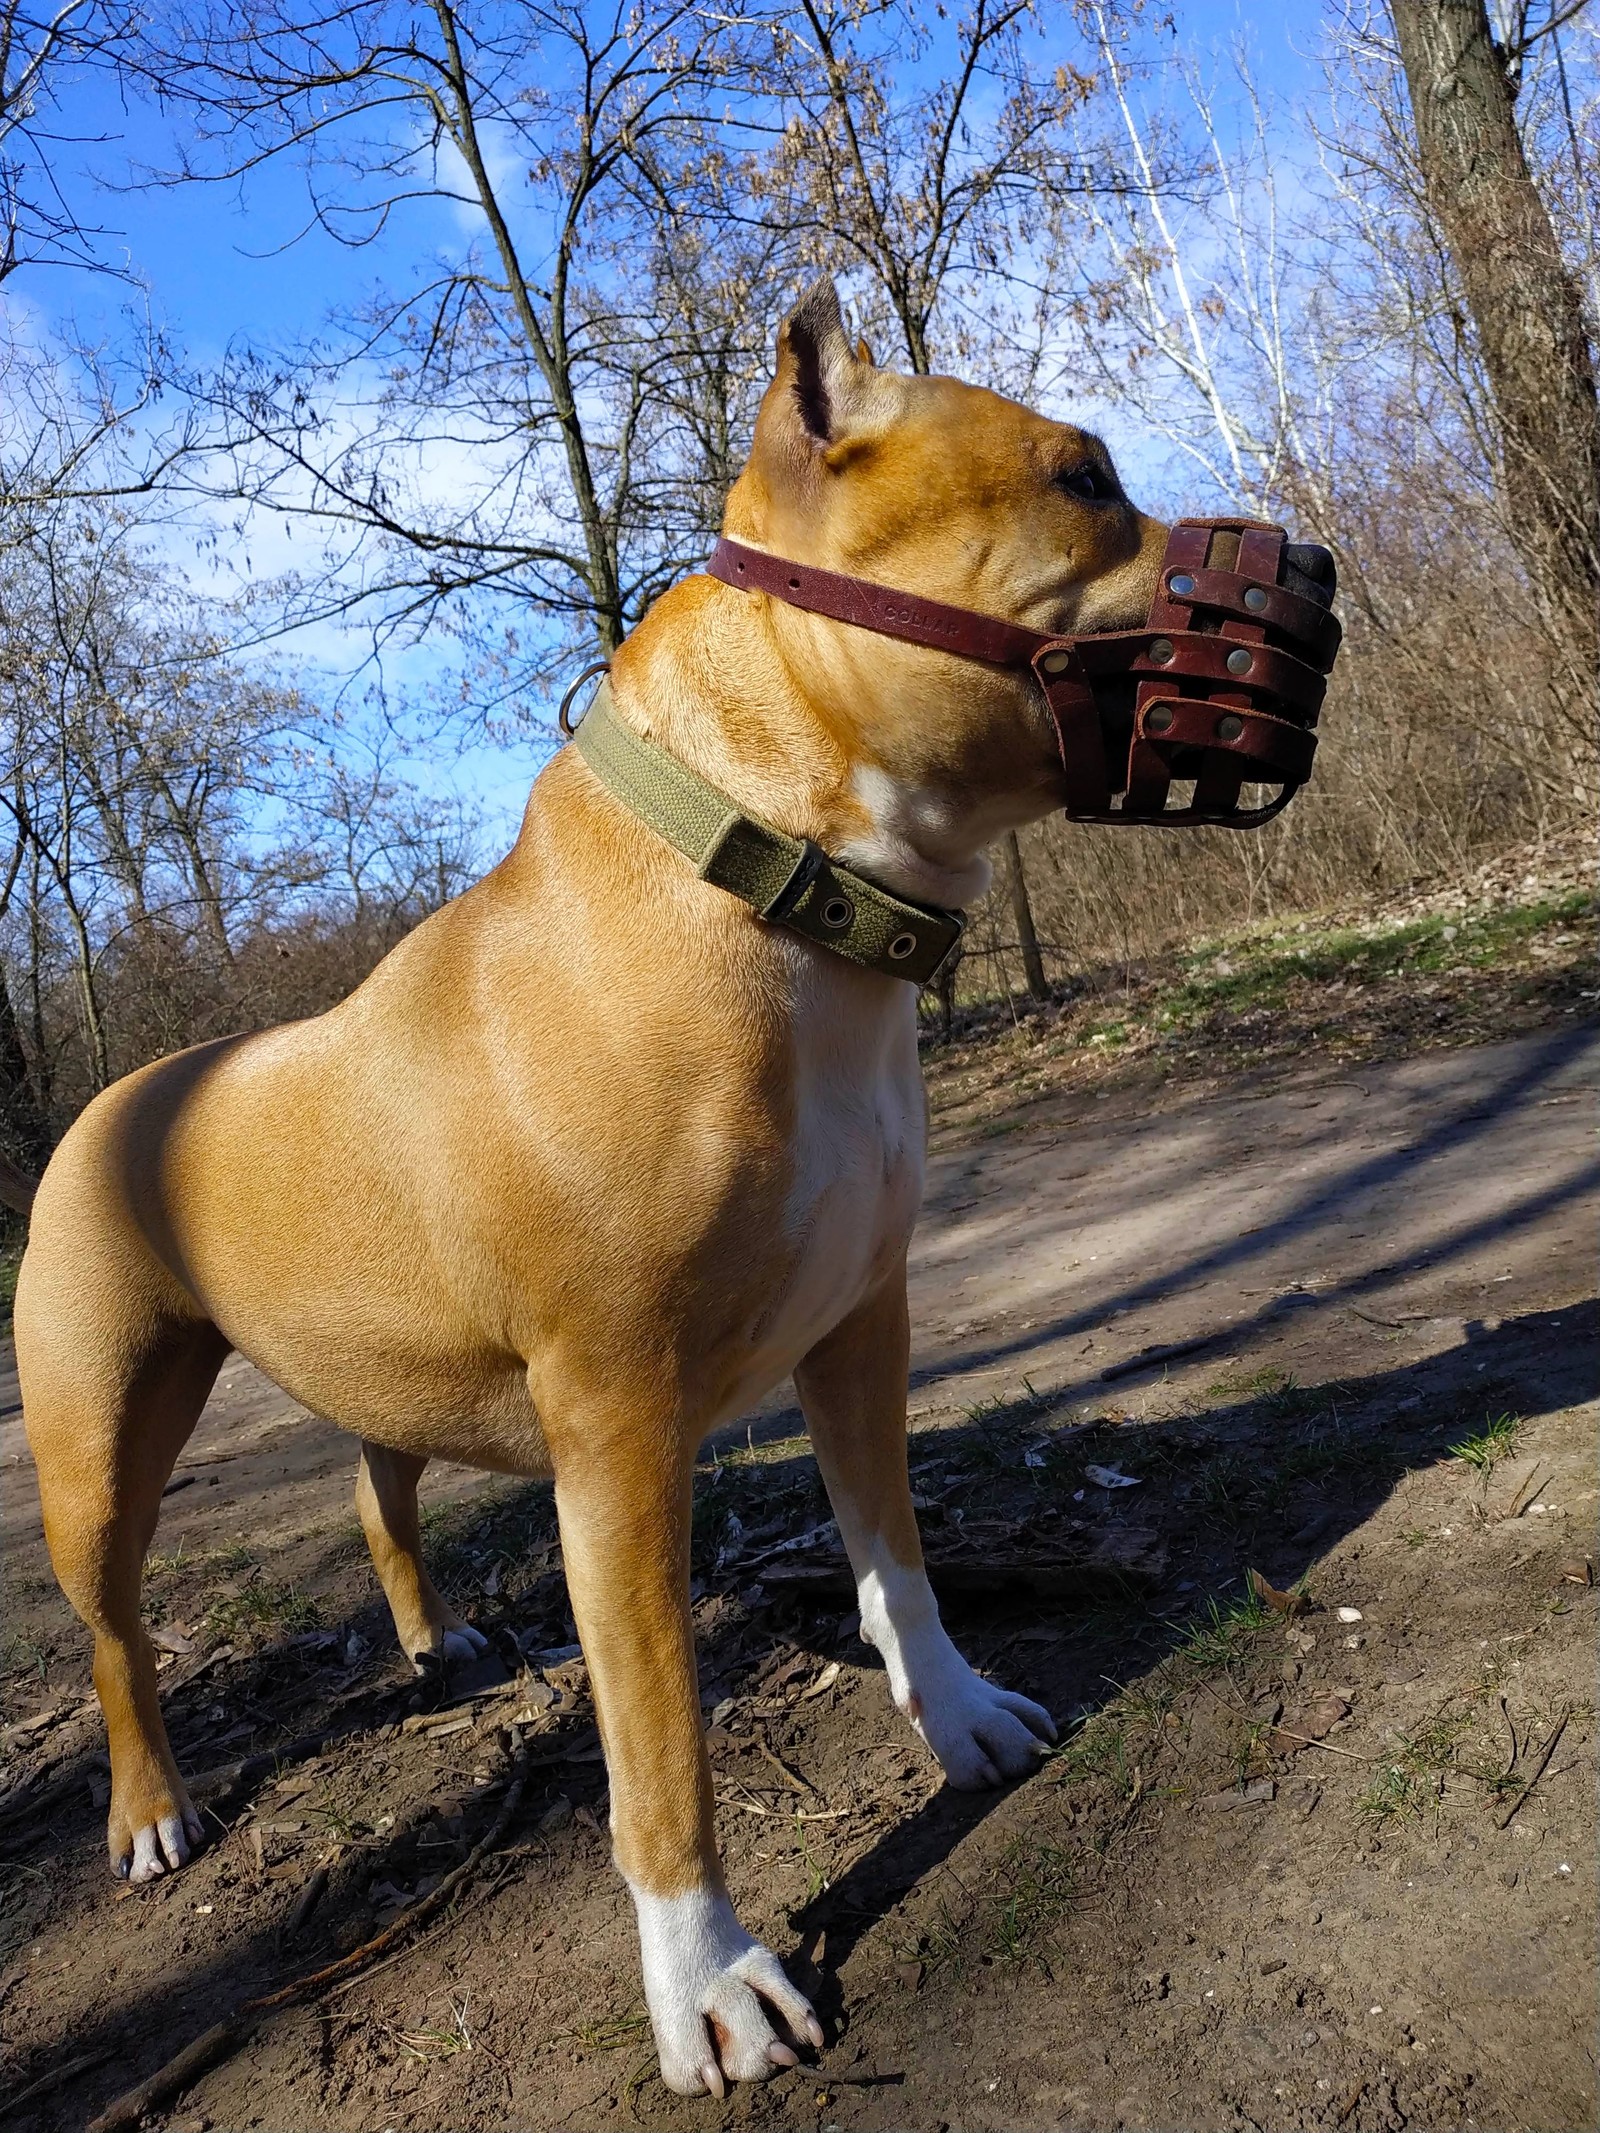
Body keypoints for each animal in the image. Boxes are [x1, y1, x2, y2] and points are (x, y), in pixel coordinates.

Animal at [12, 283, 1169, 2098]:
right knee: (120, 1632)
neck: (772, 891)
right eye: (1082, 481)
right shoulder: (621, 1435)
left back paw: (436, 1636)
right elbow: (662, 1743)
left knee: (380, 1491)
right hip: (97, 1437)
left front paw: (963, 1712)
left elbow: (897, 1556)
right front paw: (709, 1976)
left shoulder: (864, 1324)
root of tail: (121, 1096)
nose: (1319, 564)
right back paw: (149, 1808)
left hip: (387, 1362)